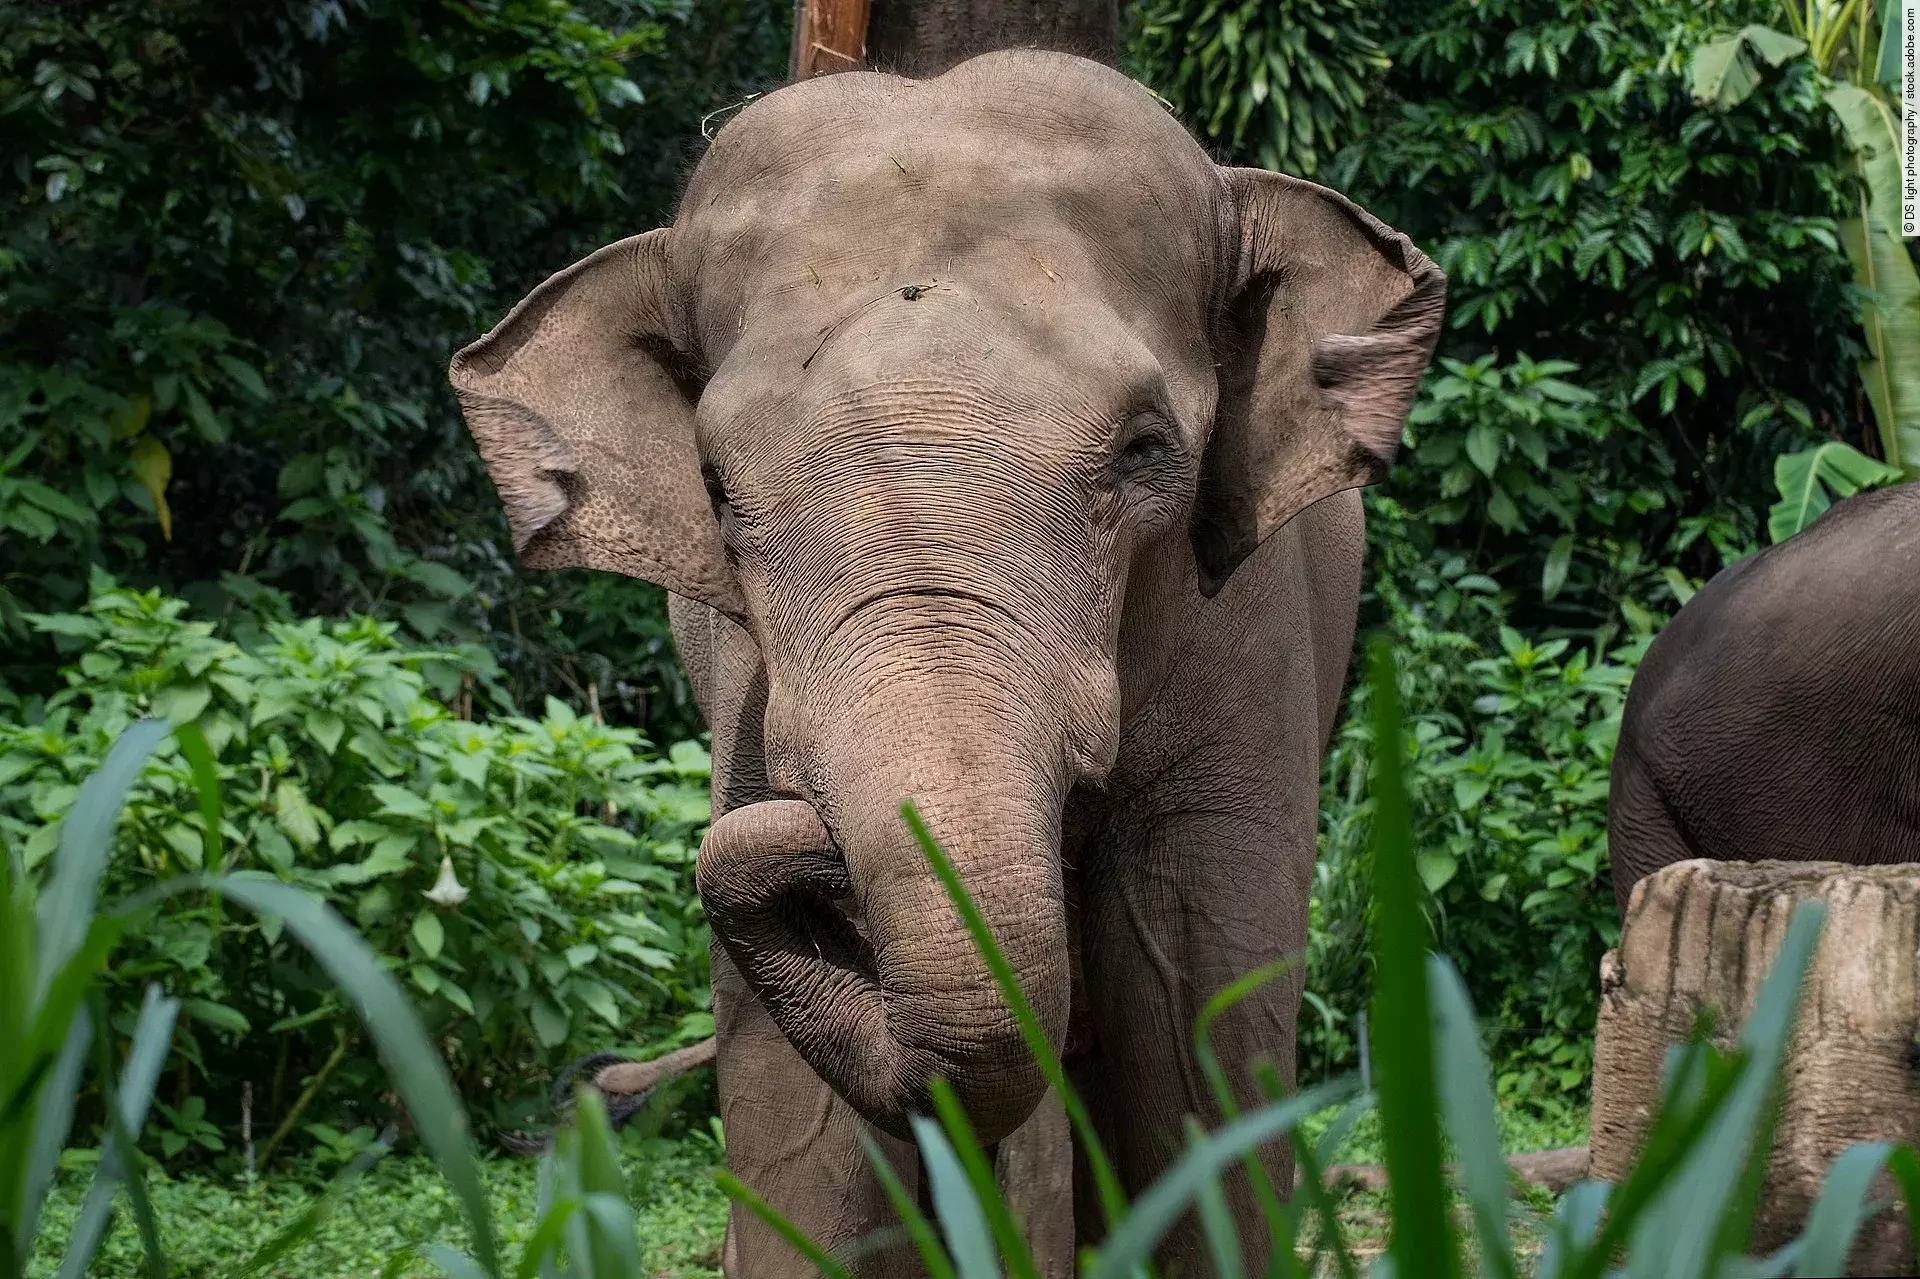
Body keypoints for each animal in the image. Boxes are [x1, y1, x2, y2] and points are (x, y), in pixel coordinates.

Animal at [448, 49, 1443, 1276]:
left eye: (1146, 451)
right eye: (717, 491)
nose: (810, 846)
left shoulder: (1250, 638)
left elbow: (1196, 1008)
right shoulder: (747, 683)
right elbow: (801, 1117)